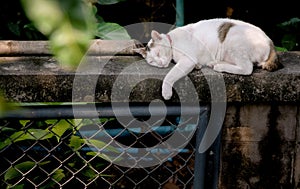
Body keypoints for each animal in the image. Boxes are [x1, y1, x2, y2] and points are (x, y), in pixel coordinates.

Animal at [133, 18, 278, 100]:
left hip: (234, 40)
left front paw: (166, 92)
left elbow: (170, 75)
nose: (160, 63)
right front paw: (198, 66)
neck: (172, 41)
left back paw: (219, 66)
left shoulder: (187, 60)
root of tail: (270, 42)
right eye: (151, 61)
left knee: (247, 68)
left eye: (158, 53)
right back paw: (214, 63)